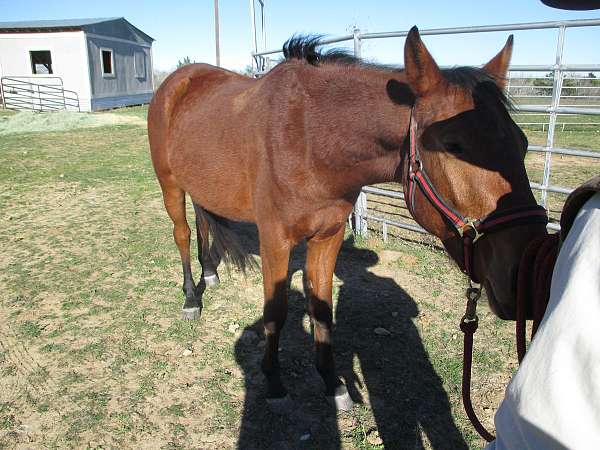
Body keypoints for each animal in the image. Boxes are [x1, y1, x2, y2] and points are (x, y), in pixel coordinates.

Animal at [149, 26, 548, 410]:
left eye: (522, 143)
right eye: (453, 144)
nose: (523, 278)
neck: (309, 137)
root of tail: (177, 81)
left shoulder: (329, 235)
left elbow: (322, 307)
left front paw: (333, 383)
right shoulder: (274, 239)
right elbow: (275, 311)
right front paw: (275, 385)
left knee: (203, 224)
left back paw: (210, 273)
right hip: (171, 186)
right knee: (182, 234)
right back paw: (191, 299)